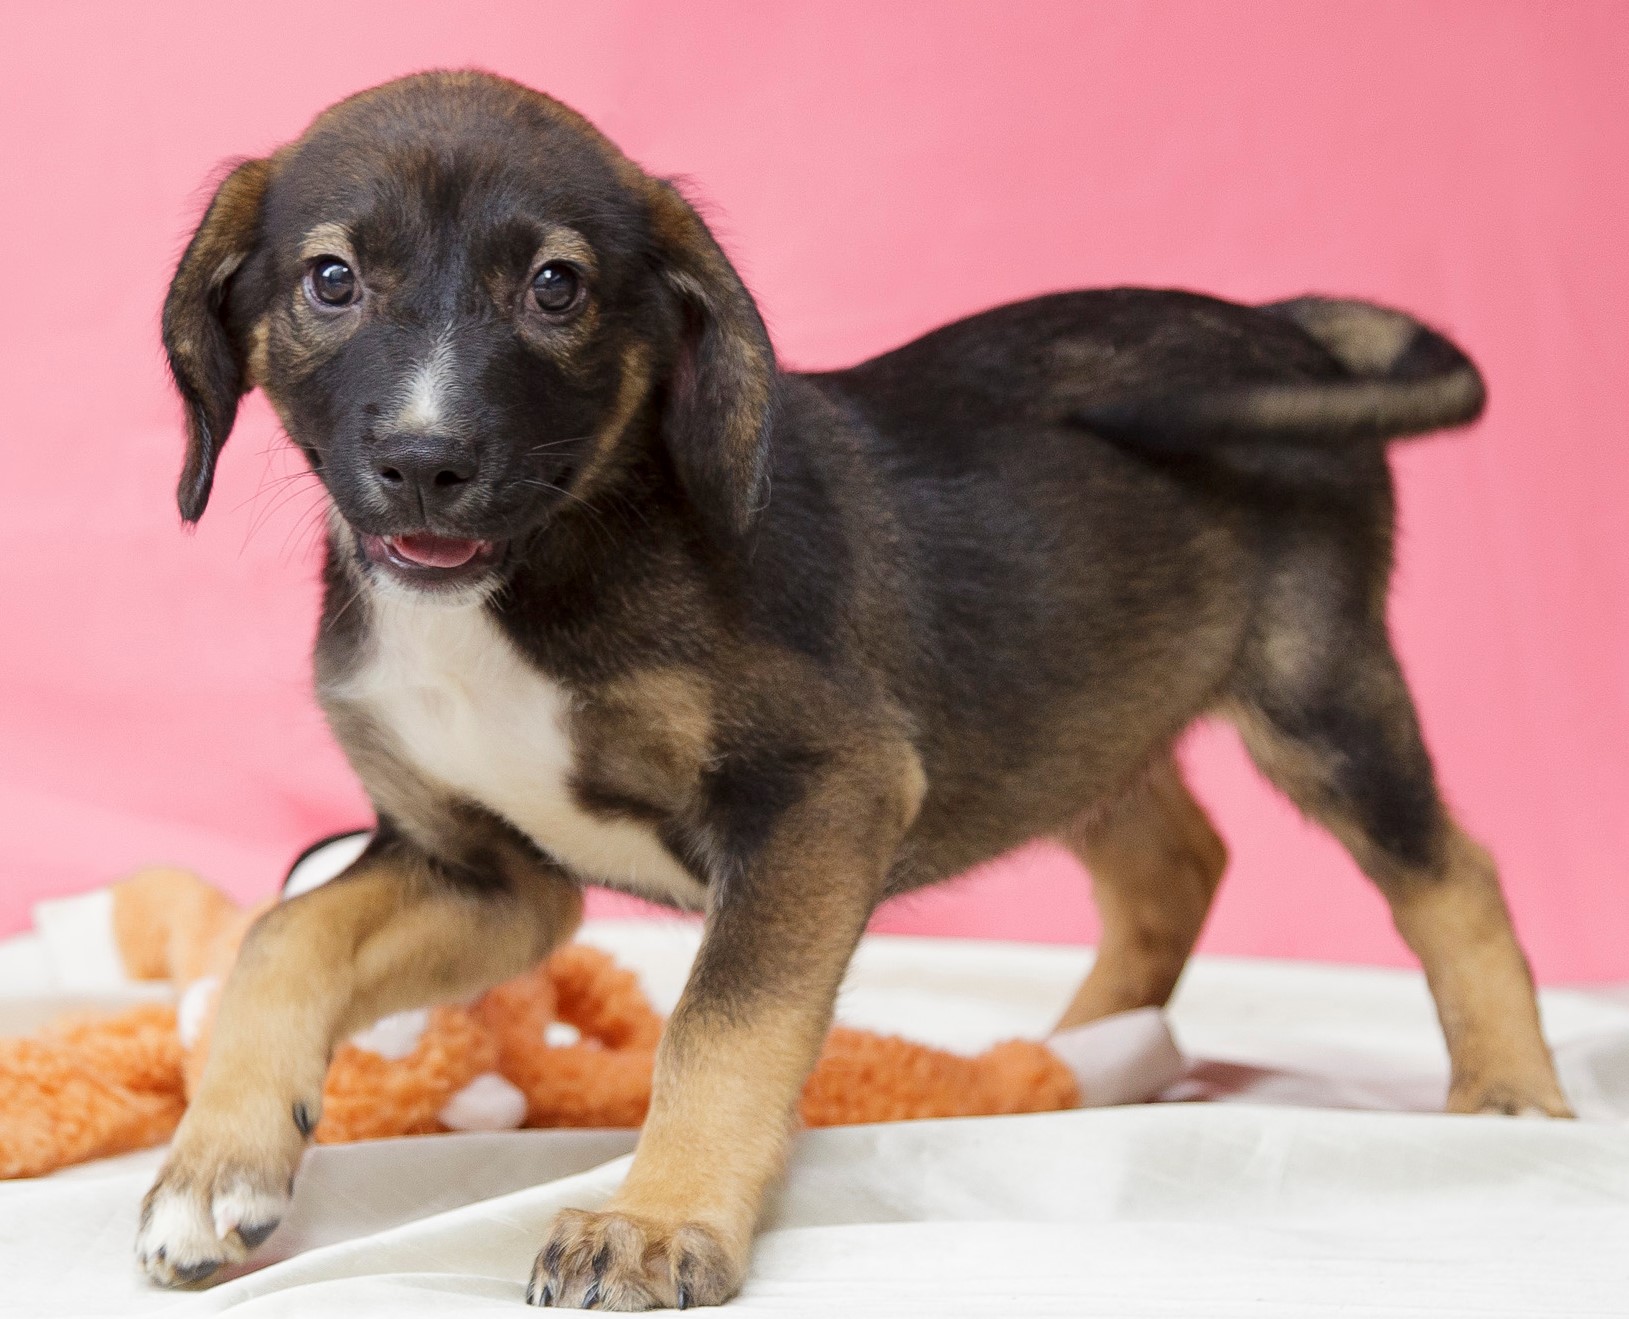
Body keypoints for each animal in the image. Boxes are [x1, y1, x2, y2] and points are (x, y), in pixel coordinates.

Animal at [136, 72, 1563, 1302]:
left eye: (556, 287)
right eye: (332, 279)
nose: (427, 464)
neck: (537, 572)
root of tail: (1291, 330)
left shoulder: (824, 786)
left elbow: (720, 1022)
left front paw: (660, 1221)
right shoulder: (490, 872)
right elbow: (284, 933)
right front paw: (215, 1166)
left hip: (1314, 688)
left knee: (1451, 868)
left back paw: (1511, 1094)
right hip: (1064, 699)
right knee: (1176, 864)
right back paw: (1078, 1063)